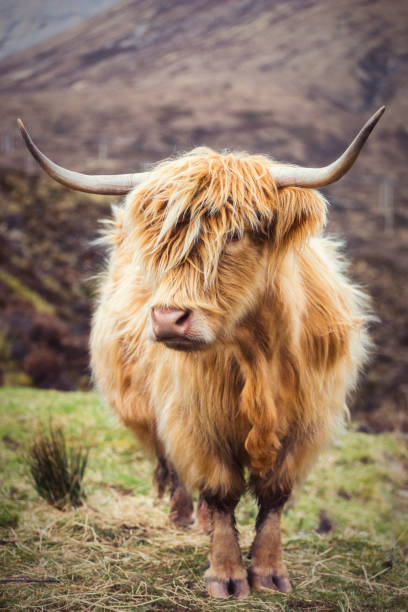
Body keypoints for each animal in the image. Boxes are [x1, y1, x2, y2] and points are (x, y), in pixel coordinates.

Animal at [18, 107, 382, 600]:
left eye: (237, 234)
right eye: (163, 243)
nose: (169, 319)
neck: (259, 352)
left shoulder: (308, 421)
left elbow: (274, 495)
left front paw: (270, 572)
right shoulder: (197, 419)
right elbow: (220, 489)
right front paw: (226, 575)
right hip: (147, 407)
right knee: (172, 465)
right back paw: (183, 517)